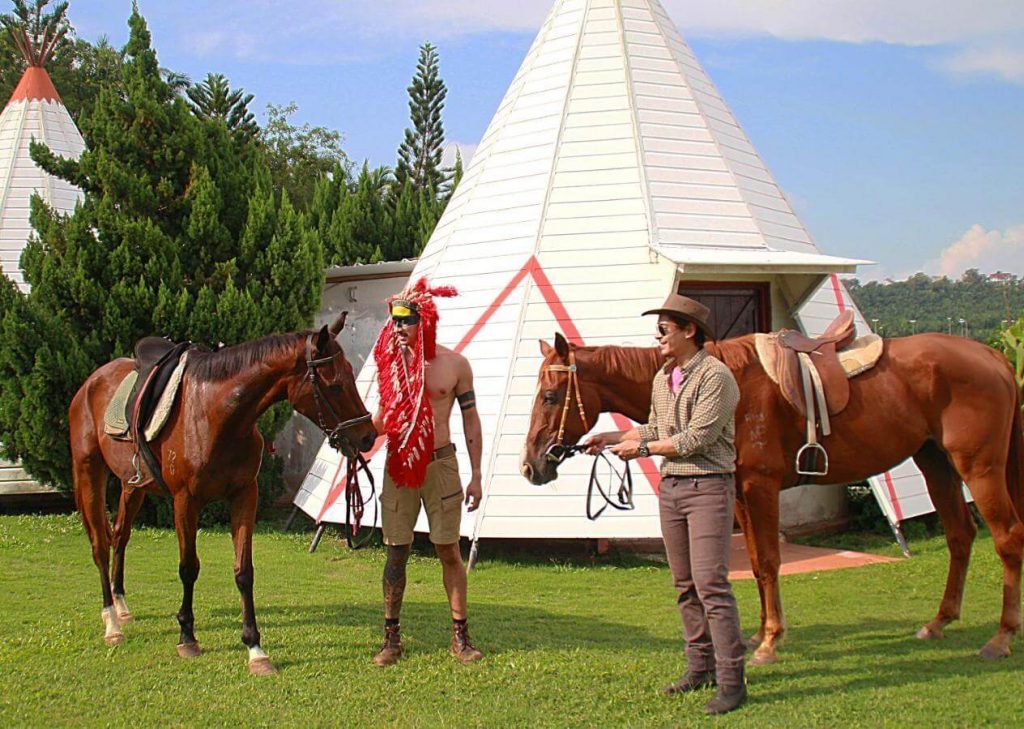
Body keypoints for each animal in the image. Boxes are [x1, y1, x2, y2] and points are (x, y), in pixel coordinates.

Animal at [70, 313, 378, 671]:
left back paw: (121, 607)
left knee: (120, 536)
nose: (368, 437)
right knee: (100, 545)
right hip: (89, 472)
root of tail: (91, 382)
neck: (216, 415)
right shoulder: (185, 502)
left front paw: (255, 647)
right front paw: (187, 636)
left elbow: (244, 571)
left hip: (132, 486)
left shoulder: (245, 496)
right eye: (334, 385)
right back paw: (111, 624)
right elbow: (188, 567)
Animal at [524, 333, 1019, 663]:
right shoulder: (740, 492)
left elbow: (769, 562)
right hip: (935, 461)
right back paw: (938, 623)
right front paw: (759, 635)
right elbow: (757, 566)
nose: (531, 464)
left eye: (550, 395)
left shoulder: (760, 487)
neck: (733, 387)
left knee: (1007, 537)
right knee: (960, 534)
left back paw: (1001, 638)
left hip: (979, 467)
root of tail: (993, 356)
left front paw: (769, 641)